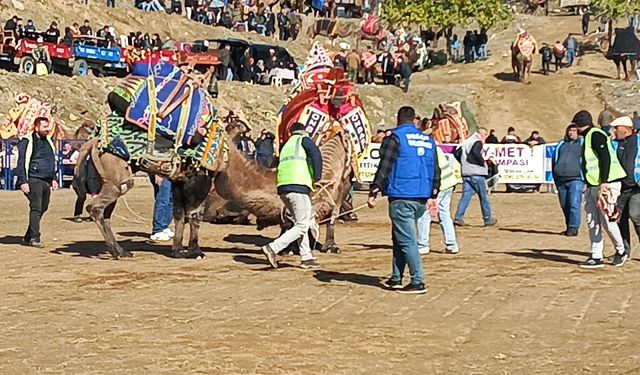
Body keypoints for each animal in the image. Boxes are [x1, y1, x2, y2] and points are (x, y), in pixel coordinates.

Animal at [75, 62, 226, 262]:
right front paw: (196, 252)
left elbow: (180, 215)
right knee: (95, 208)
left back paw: (121, 251)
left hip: (108, 180)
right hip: (117, 179)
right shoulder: (201, 180)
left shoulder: (179, 181)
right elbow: (194, 215)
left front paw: (178, 250)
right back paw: (116, 251)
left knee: (106, 212)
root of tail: (93, 141)